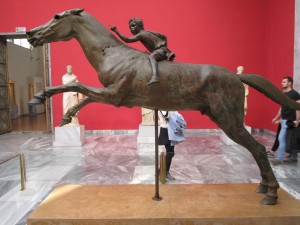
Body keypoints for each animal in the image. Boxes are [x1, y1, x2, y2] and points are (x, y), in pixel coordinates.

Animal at [27, 9, 300, 206]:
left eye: (57, 17)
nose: (31, 34)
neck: (112, 54)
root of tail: (237, 76)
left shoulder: (114, 96)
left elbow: (78, 86)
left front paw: (39, 97)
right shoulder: (112, 95)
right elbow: (84, 96)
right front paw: (65, 117)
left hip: (229, 121)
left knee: (258, 149)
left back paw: (271, 194)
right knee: (256, 151)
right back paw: (263, 187)